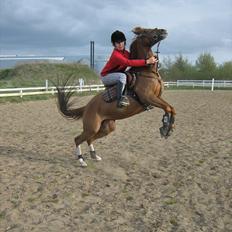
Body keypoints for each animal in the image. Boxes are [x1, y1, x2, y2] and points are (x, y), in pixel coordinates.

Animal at [56, 26, 176, 167]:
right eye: (147, 31)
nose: (163, 31)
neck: (146, 72)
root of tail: (87, 107)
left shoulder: (157, 97)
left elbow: (171, 108)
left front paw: (168, 127)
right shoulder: (148, 97)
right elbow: (167, 108)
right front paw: (165, 127)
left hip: (107, 127)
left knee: (90, 139)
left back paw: (94, 156)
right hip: (92, 127)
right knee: (78, 139)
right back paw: (81, 160)